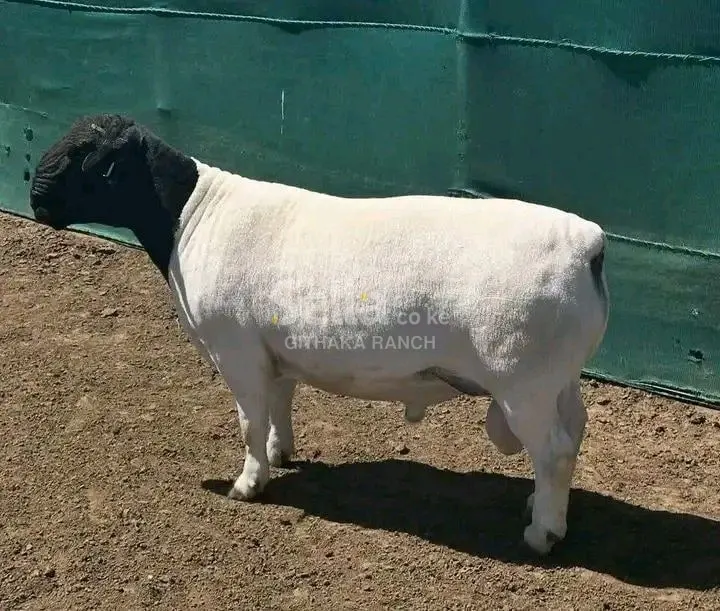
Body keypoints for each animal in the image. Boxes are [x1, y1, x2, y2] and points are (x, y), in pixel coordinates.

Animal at [30, 114, 610, 555]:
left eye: (86, 157)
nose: (35, 200)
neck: (191, 216)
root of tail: (588, 243)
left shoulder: (237, 350)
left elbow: (248, 421)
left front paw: (248, 483)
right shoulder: (274, 349)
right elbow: (279, 405)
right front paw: (281, 453)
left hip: (523, 381)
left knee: (554, 451)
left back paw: (542, 534)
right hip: (558, 376)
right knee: (574, 432)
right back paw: (541, 504)